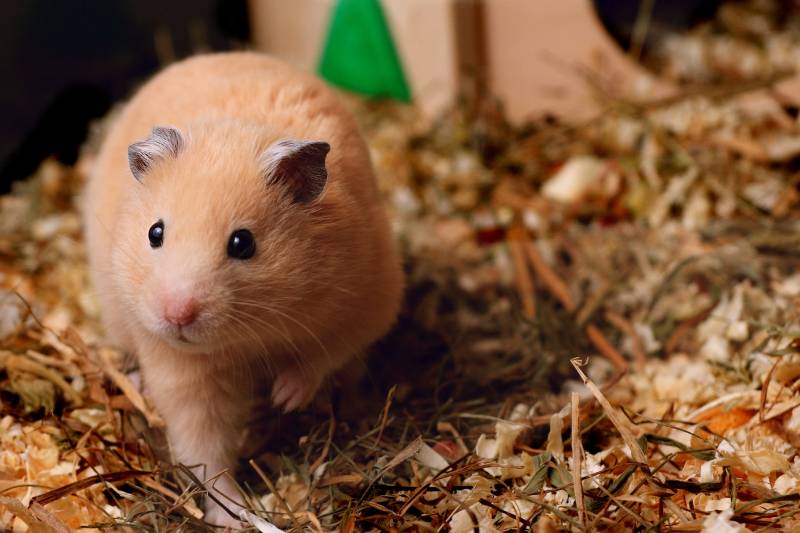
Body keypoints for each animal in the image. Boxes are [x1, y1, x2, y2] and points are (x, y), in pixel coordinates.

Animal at [83, 52, 403, 527]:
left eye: (243, 243)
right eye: (155, 233)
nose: (176, 315)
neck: (247, 337)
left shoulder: (365, 300)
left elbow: (323, 354)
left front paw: (284, 398)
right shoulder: (184, 373)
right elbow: (204, 450)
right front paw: (234, 517)